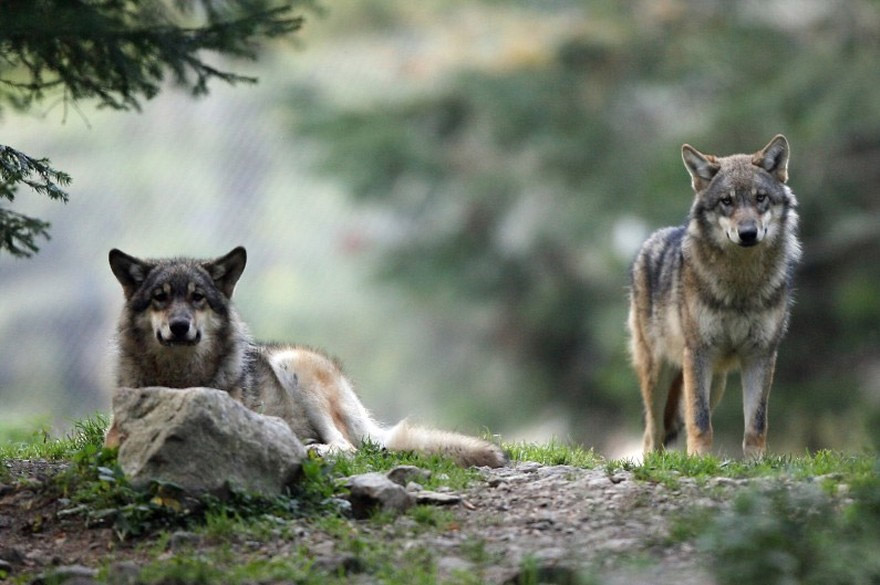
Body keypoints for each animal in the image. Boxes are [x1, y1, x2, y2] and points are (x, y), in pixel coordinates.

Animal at [108, 245, 508, 466]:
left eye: (197, 298)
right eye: (160, 297)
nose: (179, 326)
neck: (179, 379)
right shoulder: (113, 431)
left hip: (294, 368)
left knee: (348, 448)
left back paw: (309, 448)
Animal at [628, 136, 800, 456]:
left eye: (760, 198)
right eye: (726, 201)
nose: (748, 233)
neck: (740, 284)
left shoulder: (761, 355)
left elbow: (756, 422)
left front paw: (755, 462)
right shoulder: (698, 353)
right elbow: (700, 419)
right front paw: (698, 459)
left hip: (716, 383)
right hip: (659, 374)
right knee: (652, 434)